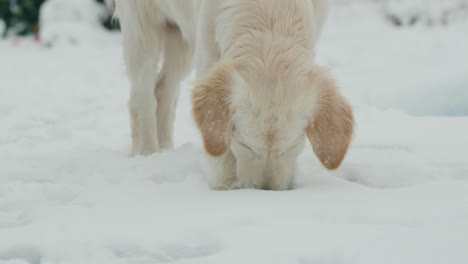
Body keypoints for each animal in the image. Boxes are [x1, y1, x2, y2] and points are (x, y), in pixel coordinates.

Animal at [115, 0, 352, 190]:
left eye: (293, 145)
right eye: (245, 145)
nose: (266, 190)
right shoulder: (208, 52)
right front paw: (226, 185)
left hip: (181, 43)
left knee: (164, 88)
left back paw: (164, 151)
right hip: (141, 30)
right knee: (142, 97)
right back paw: (146, 154)